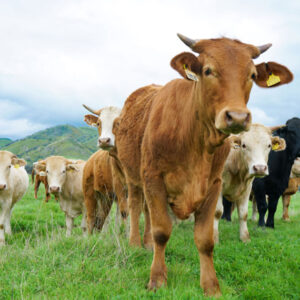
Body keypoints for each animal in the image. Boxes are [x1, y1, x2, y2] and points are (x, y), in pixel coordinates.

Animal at [112, 32, 292, 296]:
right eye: (208, 70)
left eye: (251, 75)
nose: (237, 117)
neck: (194, 140)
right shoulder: (153, 177)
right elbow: (161, 231)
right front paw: (157, 279)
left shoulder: (213, 184)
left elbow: (205, 240)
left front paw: (211, 286)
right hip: (133, 176)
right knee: (136, 207)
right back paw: (135, 243)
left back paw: (146, 244)